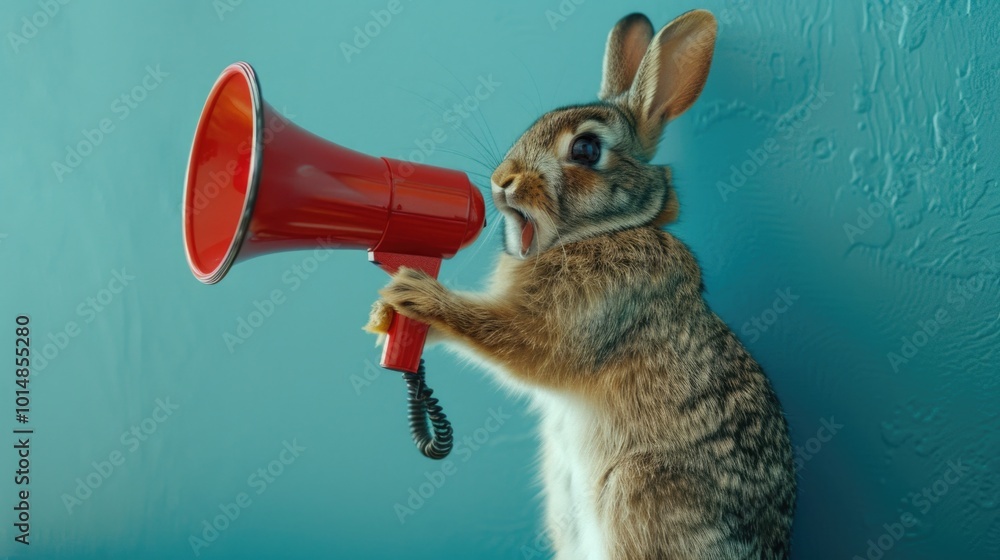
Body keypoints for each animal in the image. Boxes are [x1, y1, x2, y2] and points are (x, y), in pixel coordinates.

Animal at [366, 9, 796, 560]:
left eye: (587, 149)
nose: (502, 180)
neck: (606, 230)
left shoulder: (580, 319)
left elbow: (516, 342)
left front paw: (415, 295)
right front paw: (382, 316)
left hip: (636, 489)